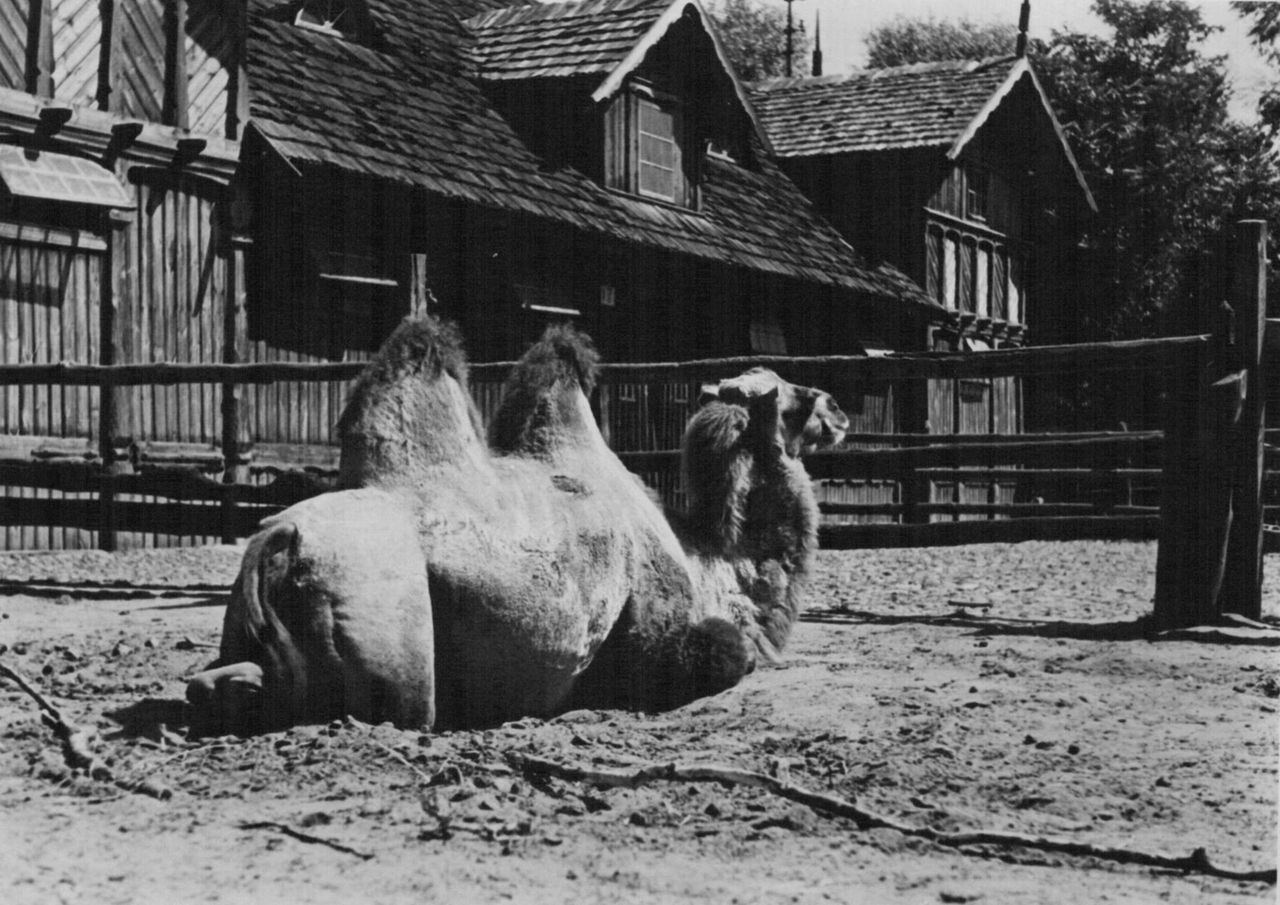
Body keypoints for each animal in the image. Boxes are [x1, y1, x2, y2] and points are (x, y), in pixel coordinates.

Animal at [186, 318, 849, 737]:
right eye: (788, 395)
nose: (839, 410)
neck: (707, 561)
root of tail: (275, 547)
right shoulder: (655, 637)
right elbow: (730, 653)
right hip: (393, 651)